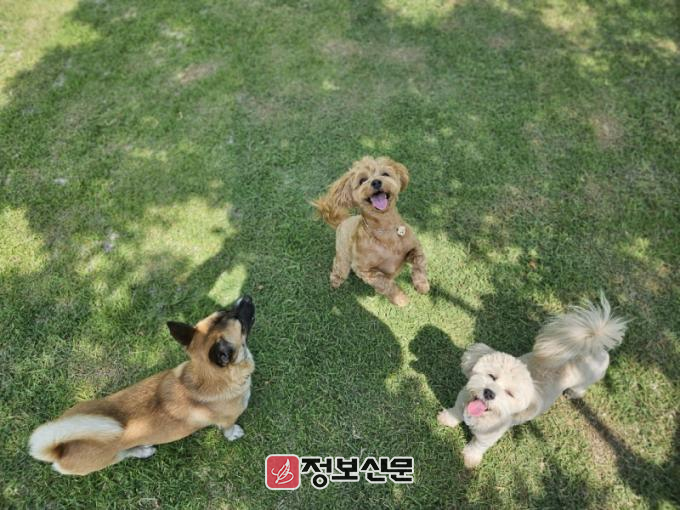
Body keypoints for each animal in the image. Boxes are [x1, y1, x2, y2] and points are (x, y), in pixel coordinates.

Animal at [28, 296, 256, 475]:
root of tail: (60, 449)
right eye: (237, 319)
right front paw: (234, 434)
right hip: (109, 458)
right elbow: (228, 428)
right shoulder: (227, 420)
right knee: (124, 455)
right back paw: (142, 451)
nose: (245, 297)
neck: (207, 376)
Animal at [312, 156, 429, 306]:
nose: (376, 182)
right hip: (343, 255)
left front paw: (422, 284)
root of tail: (343, 220)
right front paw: (400, 298)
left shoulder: (415, 247)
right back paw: (336, 280)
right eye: (362, 180)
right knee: (339, 266)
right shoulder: (364, 270)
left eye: (385, 174)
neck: (385, 230)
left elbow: (419, 262)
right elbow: (384, 283)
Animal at [437, 294, 627, 468]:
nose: (489, 393)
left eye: (509, 393)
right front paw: (446, 419)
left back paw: (573, 394)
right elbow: (455, 412)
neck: (481, 415)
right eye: (492, 376)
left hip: (587, 379)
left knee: (581, 388)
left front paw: (470, 459)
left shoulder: (488, 436)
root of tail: (593, 344)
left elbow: (477, 446)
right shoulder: (461, 401)